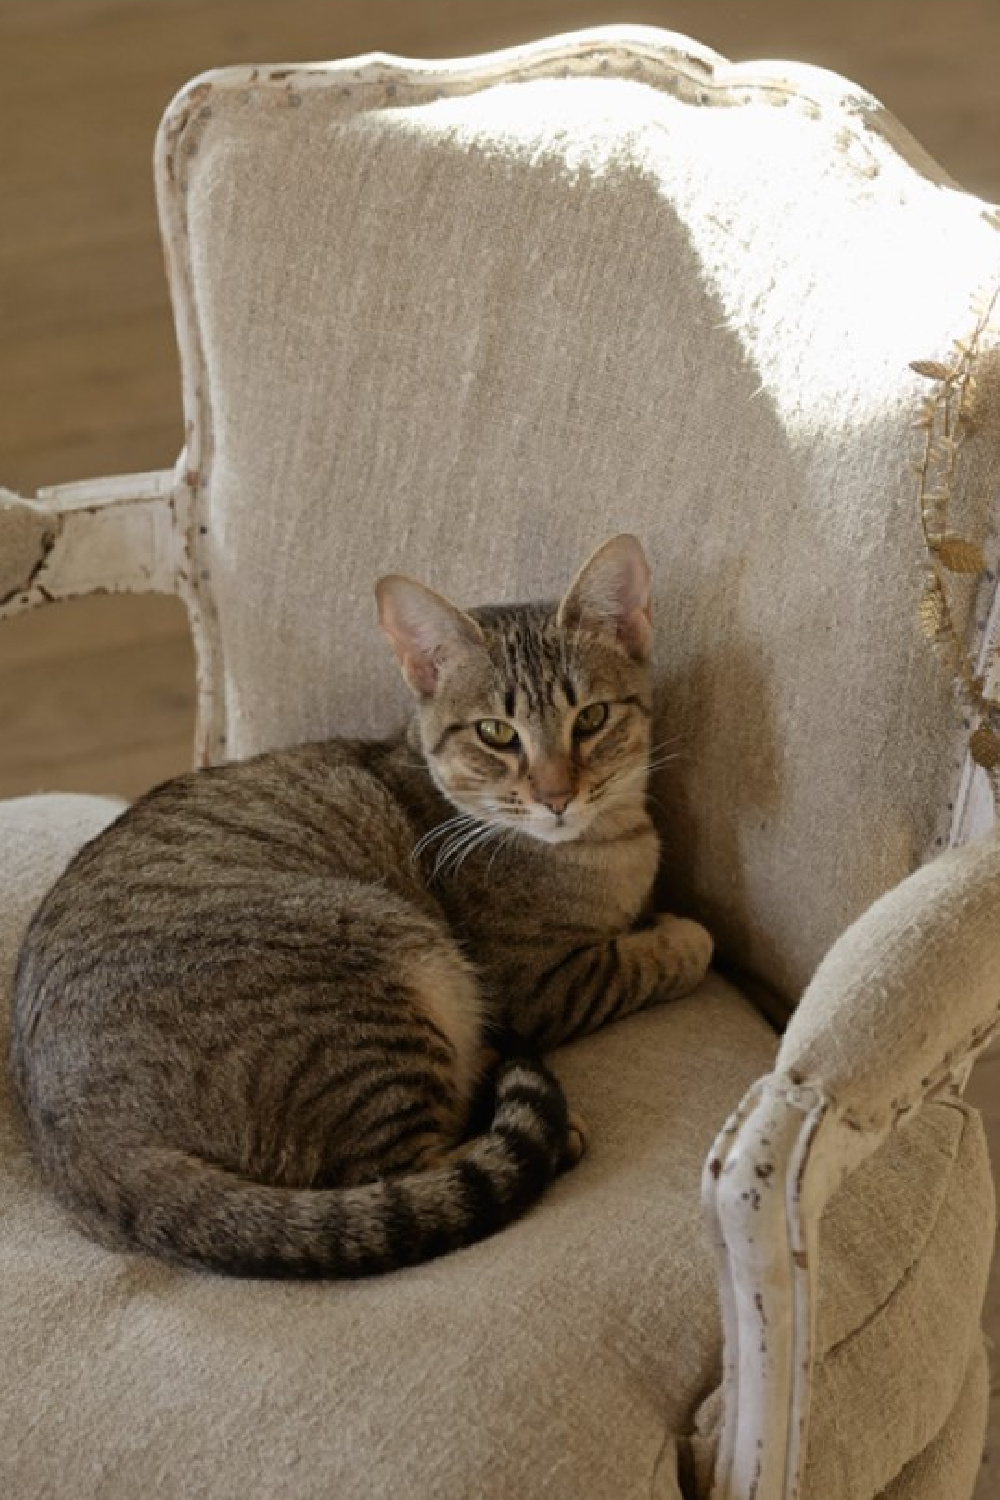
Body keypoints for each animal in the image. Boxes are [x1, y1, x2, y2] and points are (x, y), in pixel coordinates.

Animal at [7, 534, 710, 1272]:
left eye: (593, 717)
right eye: (495, 732)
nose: (556, 796)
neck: (606, 844)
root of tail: (82, 1142)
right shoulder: (540, 983)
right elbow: (644, 960)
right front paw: (681, 937)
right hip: (389, 976)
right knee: (407, 1172)